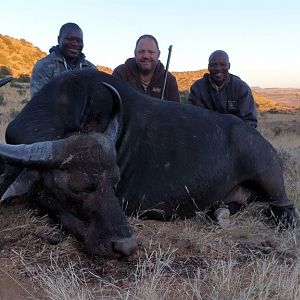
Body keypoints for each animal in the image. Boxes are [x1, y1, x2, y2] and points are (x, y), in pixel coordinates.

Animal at [0, 69, 298, 256]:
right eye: (80, 187)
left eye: (115, 183)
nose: (125, 246)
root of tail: (258, 139)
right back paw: (221, 212)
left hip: (272, 184)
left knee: (286, 210)